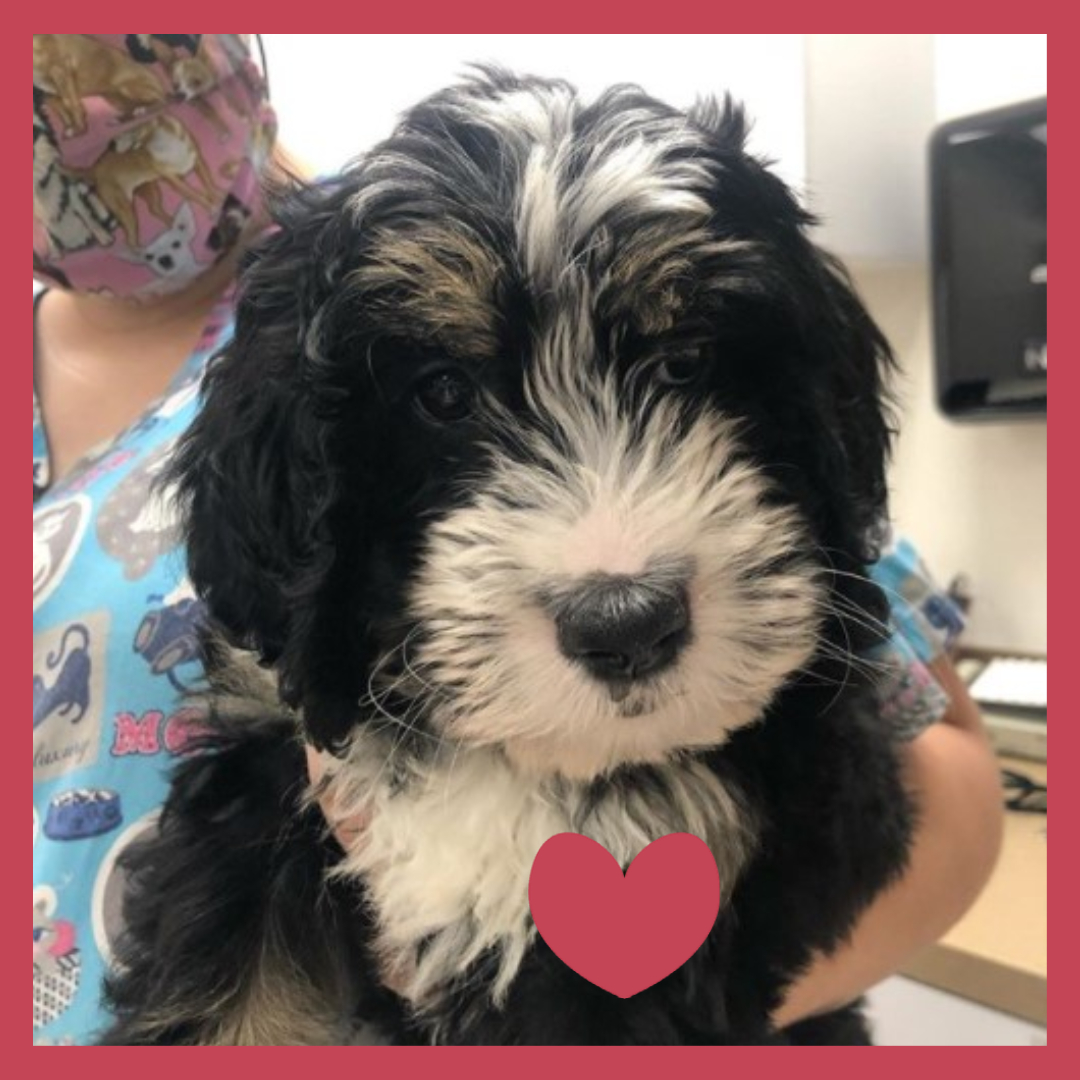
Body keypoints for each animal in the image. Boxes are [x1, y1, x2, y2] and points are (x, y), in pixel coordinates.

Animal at [99, 69, 911, 1045]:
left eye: (685, 365)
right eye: (443, 393)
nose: (626, 623)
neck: (524, 765)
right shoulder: (263, 778)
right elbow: (224, 1002)